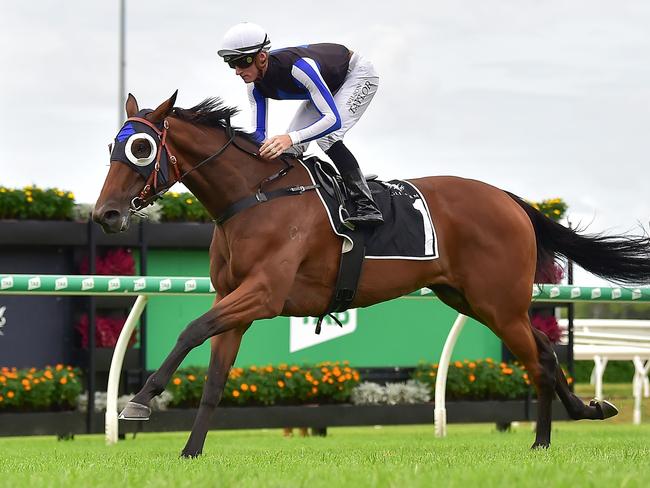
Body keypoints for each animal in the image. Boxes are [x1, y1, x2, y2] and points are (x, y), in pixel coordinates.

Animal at [92, 91, 648, 458]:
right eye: (111, 148)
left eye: (141, 148)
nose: (106, 215)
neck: (255, 196)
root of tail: (510, 200)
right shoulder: (236, 301)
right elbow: (213, 377)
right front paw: (190, 451)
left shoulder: (264, 294)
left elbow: (190, 330)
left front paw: (138, 401)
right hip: (472, 300)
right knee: (546, 352)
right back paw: (575, 420)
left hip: (498, 303)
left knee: (537, 360)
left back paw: (547, 437)